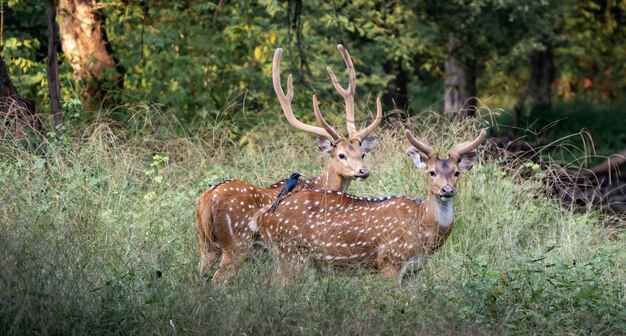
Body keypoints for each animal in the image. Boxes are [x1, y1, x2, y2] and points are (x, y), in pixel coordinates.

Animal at [195, 43, 382, 282]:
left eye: (362, 154)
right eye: (341, 155)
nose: (363, 171)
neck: (321, 184)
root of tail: (206, 201)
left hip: (206, 244)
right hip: (237, 242)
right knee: (219, 279)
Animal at [256, 129, 486, 284]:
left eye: (457, 173)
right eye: (431, 172)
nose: (447, 190)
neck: (424, 228)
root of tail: (264, 216)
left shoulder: (414, 270)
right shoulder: (390, 260)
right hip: (289, 254)